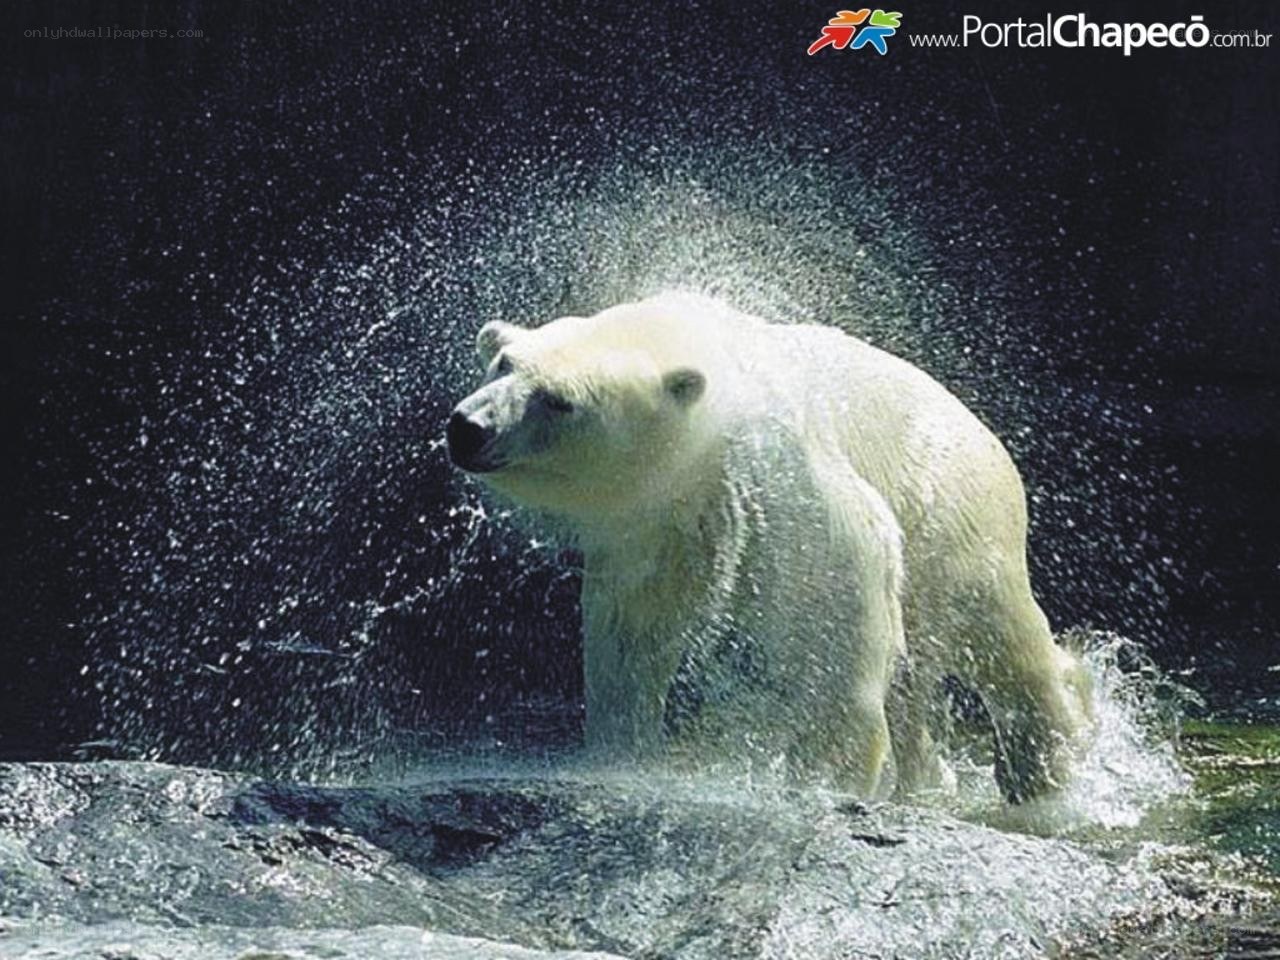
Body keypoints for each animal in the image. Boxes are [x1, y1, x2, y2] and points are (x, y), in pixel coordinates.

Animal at [446, 292, 1092, 802]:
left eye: (560, 400)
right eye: (503, 363)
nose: (468, 428)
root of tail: (988, 438)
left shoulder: (776, 470)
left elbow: (846, 577)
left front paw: (828, 772)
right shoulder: (662, 518)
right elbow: (632, 630)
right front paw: (619, 750)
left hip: (955, 518)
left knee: (1000, 636)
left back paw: (1045, 769)